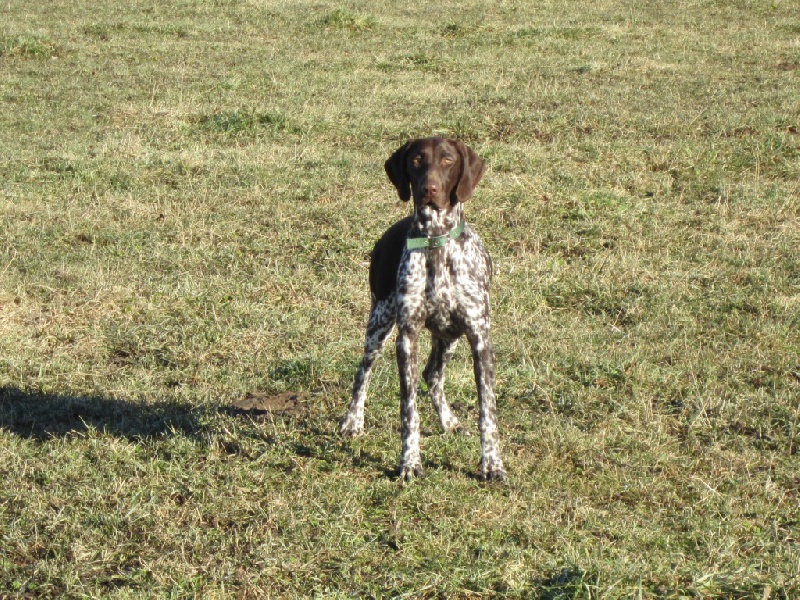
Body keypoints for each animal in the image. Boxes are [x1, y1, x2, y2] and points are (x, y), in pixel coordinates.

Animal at [340, 137, 506, 482]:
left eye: (447, 160)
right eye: (417, 160)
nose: (428, 188)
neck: (436, 241)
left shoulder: (480, 338)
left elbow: (488, 412)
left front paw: (492, 464)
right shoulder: (407, 338)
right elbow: (408, 411)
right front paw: (409, 463)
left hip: (449, 337)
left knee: (433, 375)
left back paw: (449, 422)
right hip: (379, 323)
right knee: (364, 370)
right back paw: (352, 420)